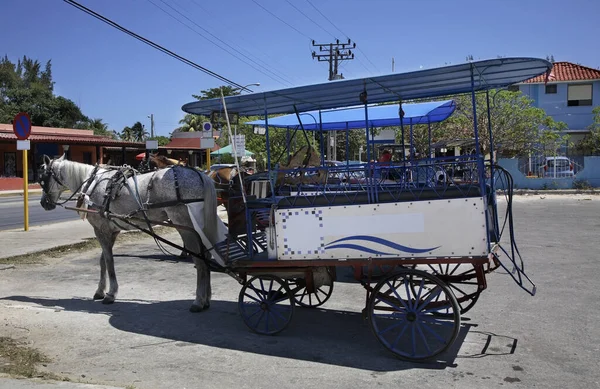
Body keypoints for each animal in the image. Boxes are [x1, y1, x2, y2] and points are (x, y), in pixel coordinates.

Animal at [40, 153, 223, 310]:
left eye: (42, 178)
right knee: (206, 257)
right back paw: (206, 298)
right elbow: (103, 260)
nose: (43, 203)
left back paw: (199, 301)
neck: (92, 183)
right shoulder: (112, 230)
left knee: (199, 261)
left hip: (186, 226)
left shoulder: (101, 229)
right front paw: (100, 291)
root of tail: (200, 175)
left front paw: (110, 294)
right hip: (198, 226)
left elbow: (109, 261)